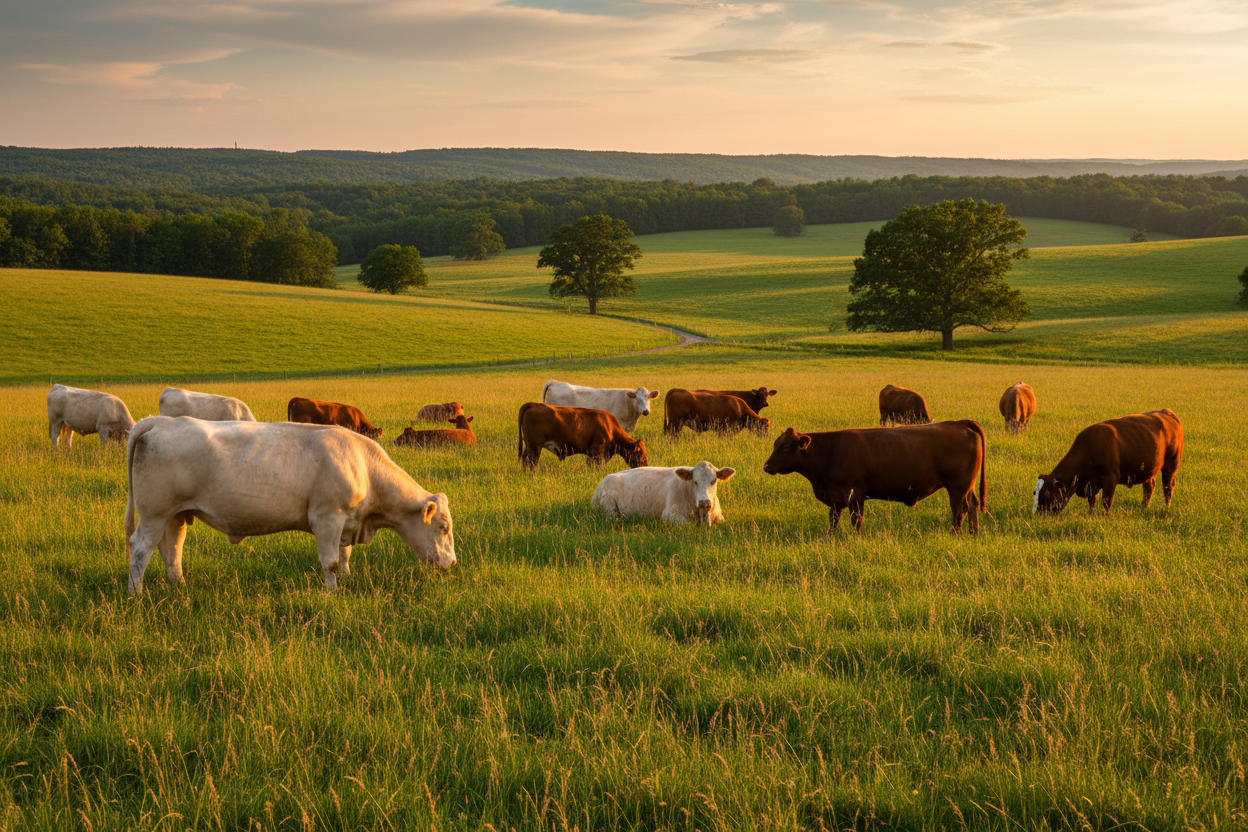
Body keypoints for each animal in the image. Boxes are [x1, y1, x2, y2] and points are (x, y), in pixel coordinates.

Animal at [123, 416, 455, 595]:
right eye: (443, 527)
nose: (452, 563)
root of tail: (162, 420)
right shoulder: (327, 518)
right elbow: (330, 561)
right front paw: (333, 590)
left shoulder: (347, 522)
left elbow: (345, 555)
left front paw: (348, 578)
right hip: (154, 514)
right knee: (140, 549)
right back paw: (136, 593)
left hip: (176, 515)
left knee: (171, 549)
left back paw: (179, 585)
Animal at [518, 402, 647, 470]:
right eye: (639, 453)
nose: (645, 466)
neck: (611, 427)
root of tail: (534, 404)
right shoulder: (597, 452)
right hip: (535, 447)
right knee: (532, 462)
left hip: (529, 446)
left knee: (525, 460)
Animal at [592, 461, 736, 527]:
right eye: (695, 482)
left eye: (713, 481)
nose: (704, 502)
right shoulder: (670, 514)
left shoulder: (720, 518)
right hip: (608, 504)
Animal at [762, 421, 986, 533]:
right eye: (775, 444)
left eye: (786, 447)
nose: (766, 466)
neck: (829, 451)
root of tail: (959, 424)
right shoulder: (836, 499)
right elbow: (833, 519)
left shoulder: (855, 494)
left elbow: (856, 519)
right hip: (967, 486)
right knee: (973, 505)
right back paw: (973, 532)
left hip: (957, 487)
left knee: (960, 510)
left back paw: (955, 533)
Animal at [1033, 409, 1183, 515]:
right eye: (1035, 493)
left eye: (1046, 494)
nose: (1038, 514)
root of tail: (1166, 412)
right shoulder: (1091, 483)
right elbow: (1092, 500)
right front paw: (1091, 513)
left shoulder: (1111, 479)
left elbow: (1106, 501)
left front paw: (1106, 516)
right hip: (1149, 469)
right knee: (1149, 488)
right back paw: (1144, 507)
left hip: (1172, 464)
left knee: (1168, 487)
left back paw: (1167, 508)